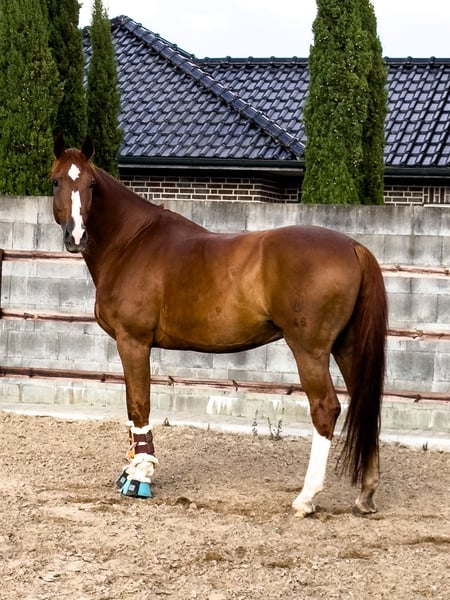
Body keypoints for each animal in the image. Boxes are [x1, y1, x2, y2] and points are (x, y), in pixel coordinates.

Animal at [51, 135, 387, 517]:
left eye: (91, 184)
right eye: (57, 181)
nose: (76, 236)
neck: (131, 243)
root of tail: (354, 246)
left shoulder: (133, 342)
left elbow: (139, 405)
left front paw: (140, 476)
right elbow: (131, 406)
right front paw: (130, 468)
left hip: (310, 350)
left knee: (326, 408)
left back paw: (306, 497)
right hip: (346, 346)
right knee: (366, 404)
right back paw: (365, 494)